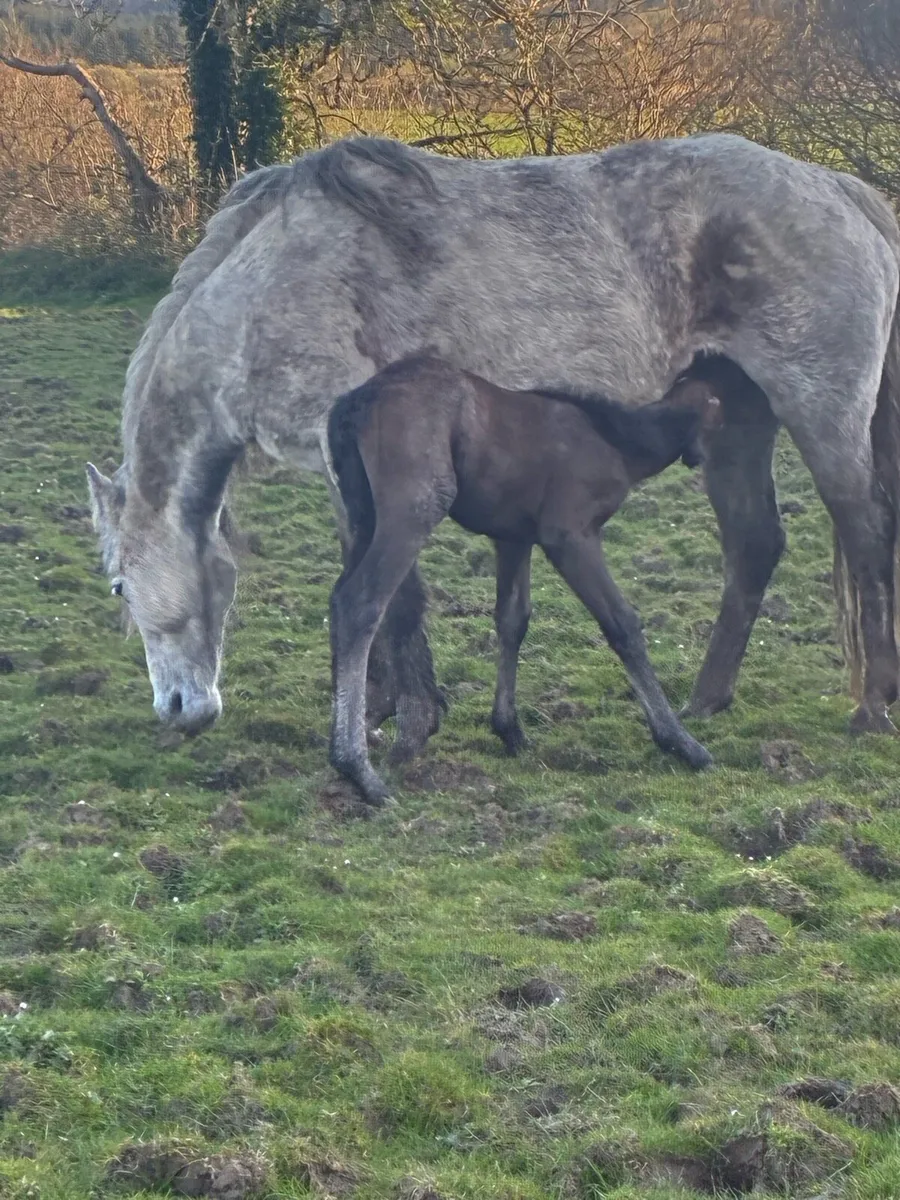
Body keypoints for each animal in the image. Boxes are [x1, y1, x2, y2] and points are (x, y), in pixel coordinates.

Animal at [85, 131, 900, 750]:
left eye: (121, 586)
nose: (177, 711)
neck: (271, 283)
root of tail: (839, 187)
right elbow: (366, 575)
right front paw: (376, 707)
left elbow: (392, 592)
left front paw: (411, 720)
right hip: (736, 423)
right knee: (755, 544)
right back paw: (705, 701)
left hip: (821, 414)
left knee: (865, 535)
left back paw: (872, 706)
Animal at [327, 354, 725, 804]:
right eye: (724, 411)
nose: (705, 462)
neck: (616, 440)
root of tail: (356, 403)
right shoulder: (570, 534)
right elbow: (622, 623)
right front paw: (680, 741)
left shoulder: (513, 537)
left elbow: (512, 619)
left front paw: (509, 730)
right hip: (415, 507)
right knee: (362, 602)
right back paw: (358, 769)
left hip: (362, 515)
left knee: (346, 598)